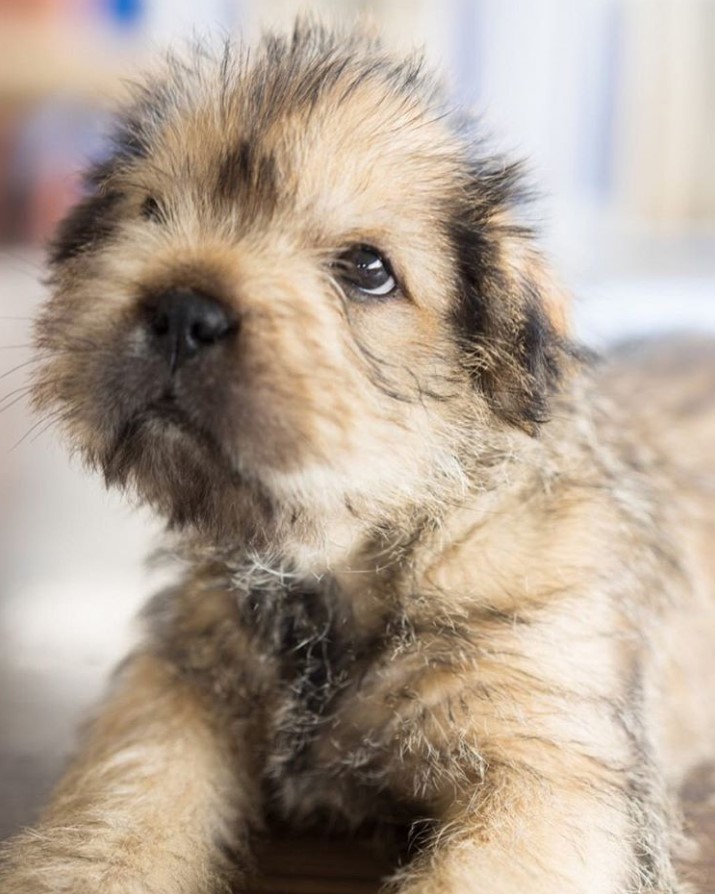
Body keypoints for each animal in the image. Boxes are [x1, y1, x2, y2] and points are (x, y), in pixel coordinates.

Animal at [1, 21, 715, 894]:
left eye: (368, 270)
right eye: (151, 210)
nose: (179, 311)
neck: (346, 559)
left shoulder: (550, 775)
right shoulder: (181, 684)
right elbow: (123, 798)